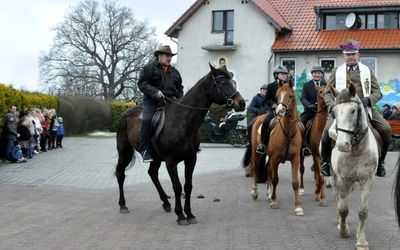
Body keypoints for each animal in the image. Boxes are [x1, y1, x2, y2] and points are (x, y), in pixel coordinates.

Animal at [115, 64, 247, 225]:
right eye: (222, 82)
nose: (241, 103)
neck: (182, 121)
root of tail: (127, 112)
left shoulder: (190, 159)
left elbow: (188, 186)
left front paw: (189, 214)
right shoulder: (171, 161)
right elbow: (177, 187)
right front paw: (180, 215)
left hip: (155, 158)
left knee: (152, 174)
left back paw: (165, 202)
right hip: (125, 152)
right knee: (120, 173)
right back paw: (123, 205)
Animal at [250, 79, 304, 215]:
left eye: (290, 95)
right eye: (277, 96)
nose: (279, 110)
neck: (288, 132)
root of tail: (260, 116)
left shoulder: (295, 159)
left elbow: (295, 182)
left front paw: (298, 207)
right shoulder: (275, 159)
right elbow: (275, 179)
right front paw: (274, 202)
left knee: (268, 170)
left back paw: (269, 194)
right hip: (257, 152)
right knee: (256, 169)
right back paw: (255, 193)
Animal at [328, 84, 378, 250]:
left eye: (353, 111)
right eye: (335, 112)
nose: (342, 145)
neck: (356, 151)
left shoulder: (367, 181)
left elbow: (363, 212)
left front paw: (361, 241)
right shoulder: (342, 180)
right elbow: (343, 209)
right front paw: (343, 230)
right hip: (333, 178)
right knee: (337, 199)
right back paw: (339, 223)